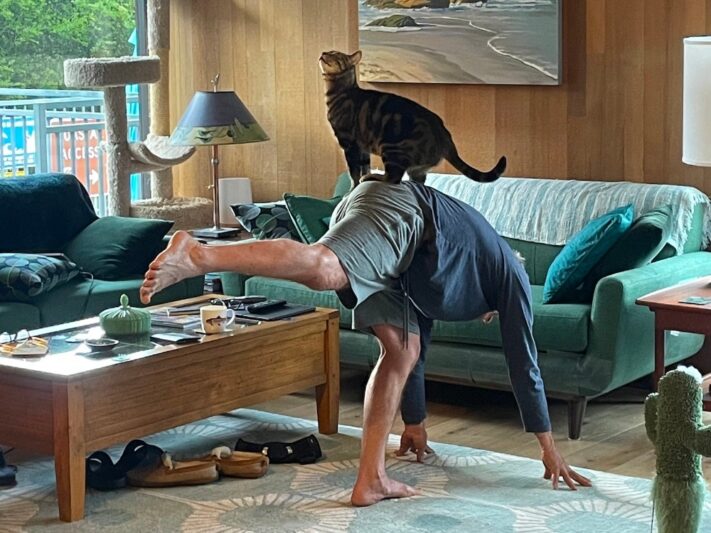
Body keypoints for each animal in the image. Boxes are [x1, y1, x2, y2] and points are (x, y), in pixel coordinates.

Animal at [320, 48, 508, 189]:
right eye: (329, 51)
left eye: (335, 54)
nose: (323, 52)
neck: (340, 91)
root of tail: (445, 136)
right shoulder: (362, 146)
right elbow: (364, 166)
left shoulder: (349, 142)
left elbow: (354, 171)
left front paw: (353, 188)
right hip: (416, 167)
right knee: (418, 182)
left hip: (392, 149)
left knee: (393, 178)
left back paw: (374, 177)